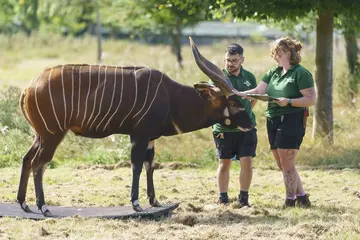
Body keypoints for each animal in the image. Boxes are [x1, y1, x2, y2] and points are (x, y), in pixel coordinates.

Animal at [17, 37, 253, 216]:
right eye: (233, 103)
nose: (250, 125)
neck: (171, 97)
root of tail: (29, 87)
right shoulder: (139, 135)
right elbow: (137, 166)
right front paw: (136, 204)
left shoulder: (150, 139)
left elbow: (150, 165)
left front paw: (155, 201)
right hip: (52, 134)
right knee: (39, 163)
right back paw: (43, 207)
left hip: (40, 135)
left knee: (27, 159)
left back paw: (24, 204)